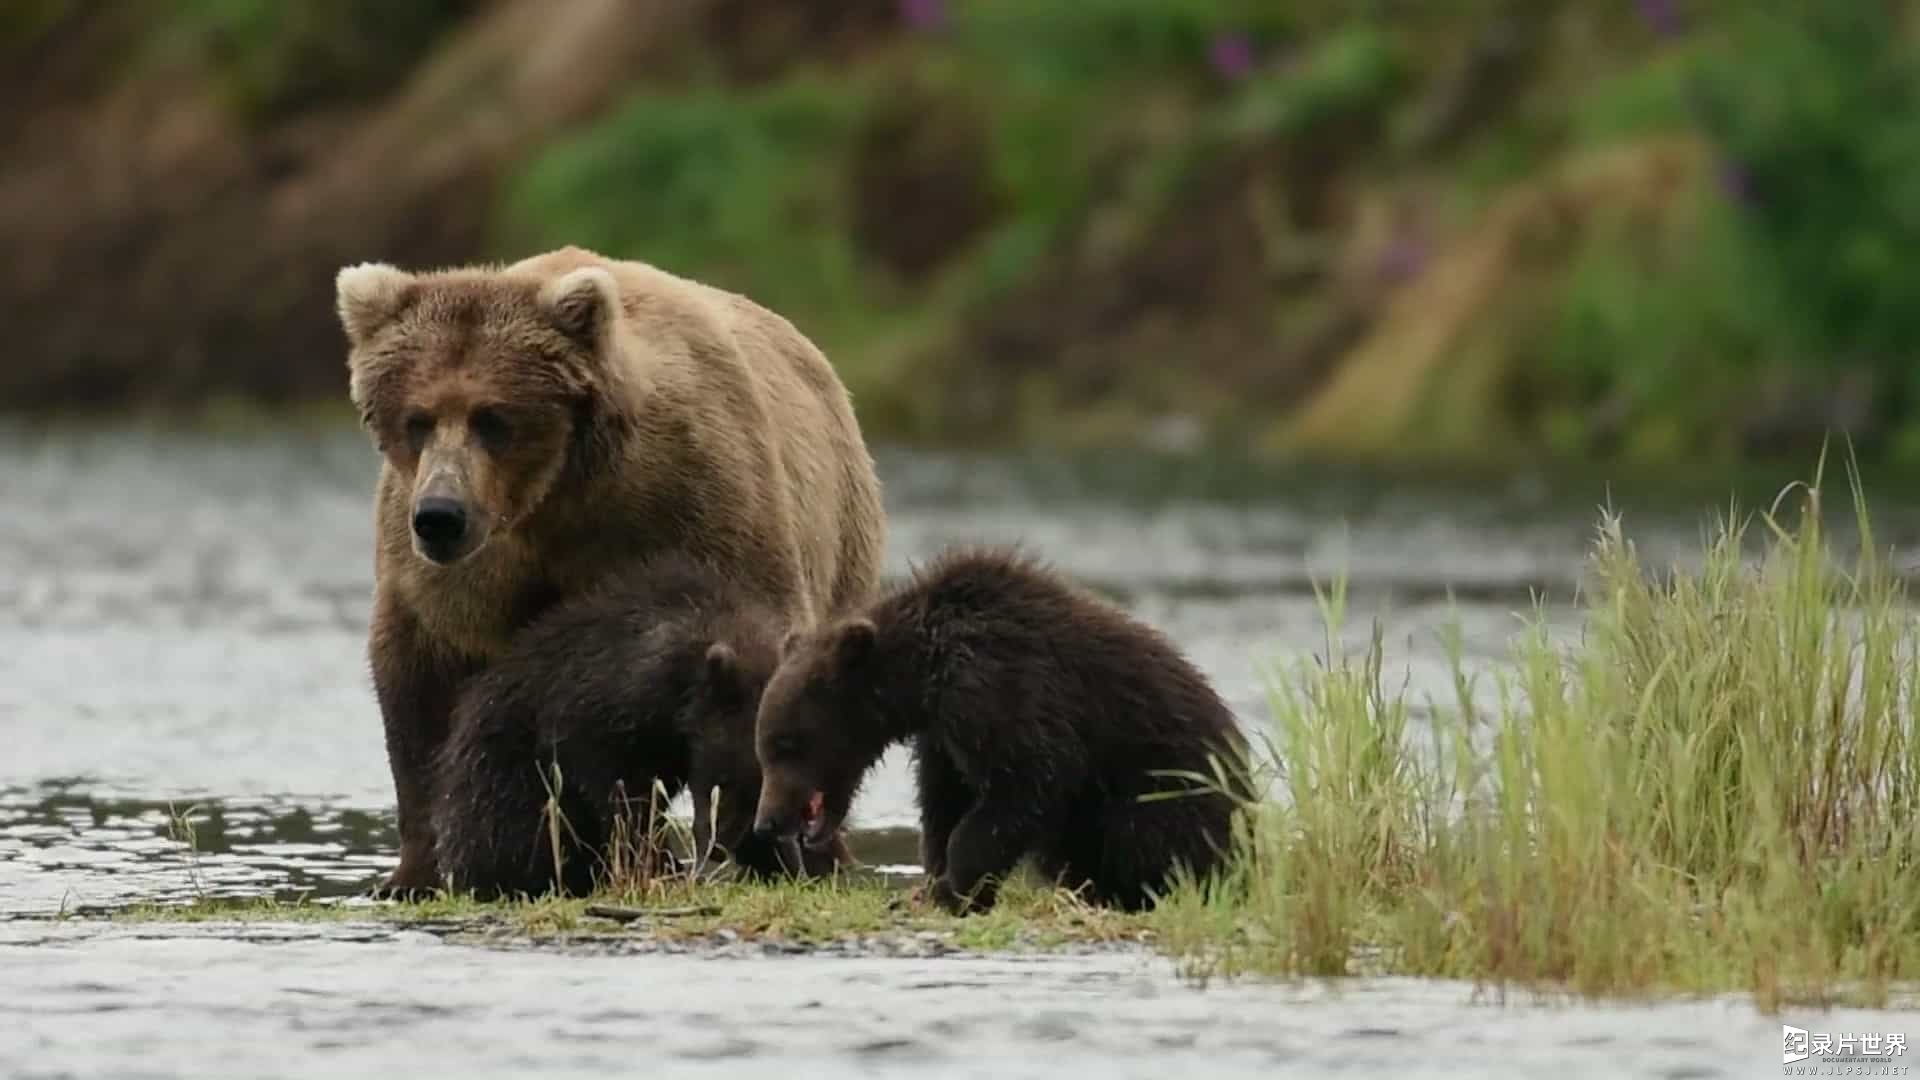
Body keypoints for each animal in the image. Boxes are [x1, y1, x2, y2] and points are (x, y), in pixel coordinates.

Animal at [336, 244, 883, 891]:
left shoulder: (695, 507)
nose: (441, 516)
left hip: (842, 532)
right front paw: (416, 871)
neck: (553, 499)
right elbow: (422, 682)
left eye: (493, 418)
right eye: (416, 419)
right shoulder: (453, 574)